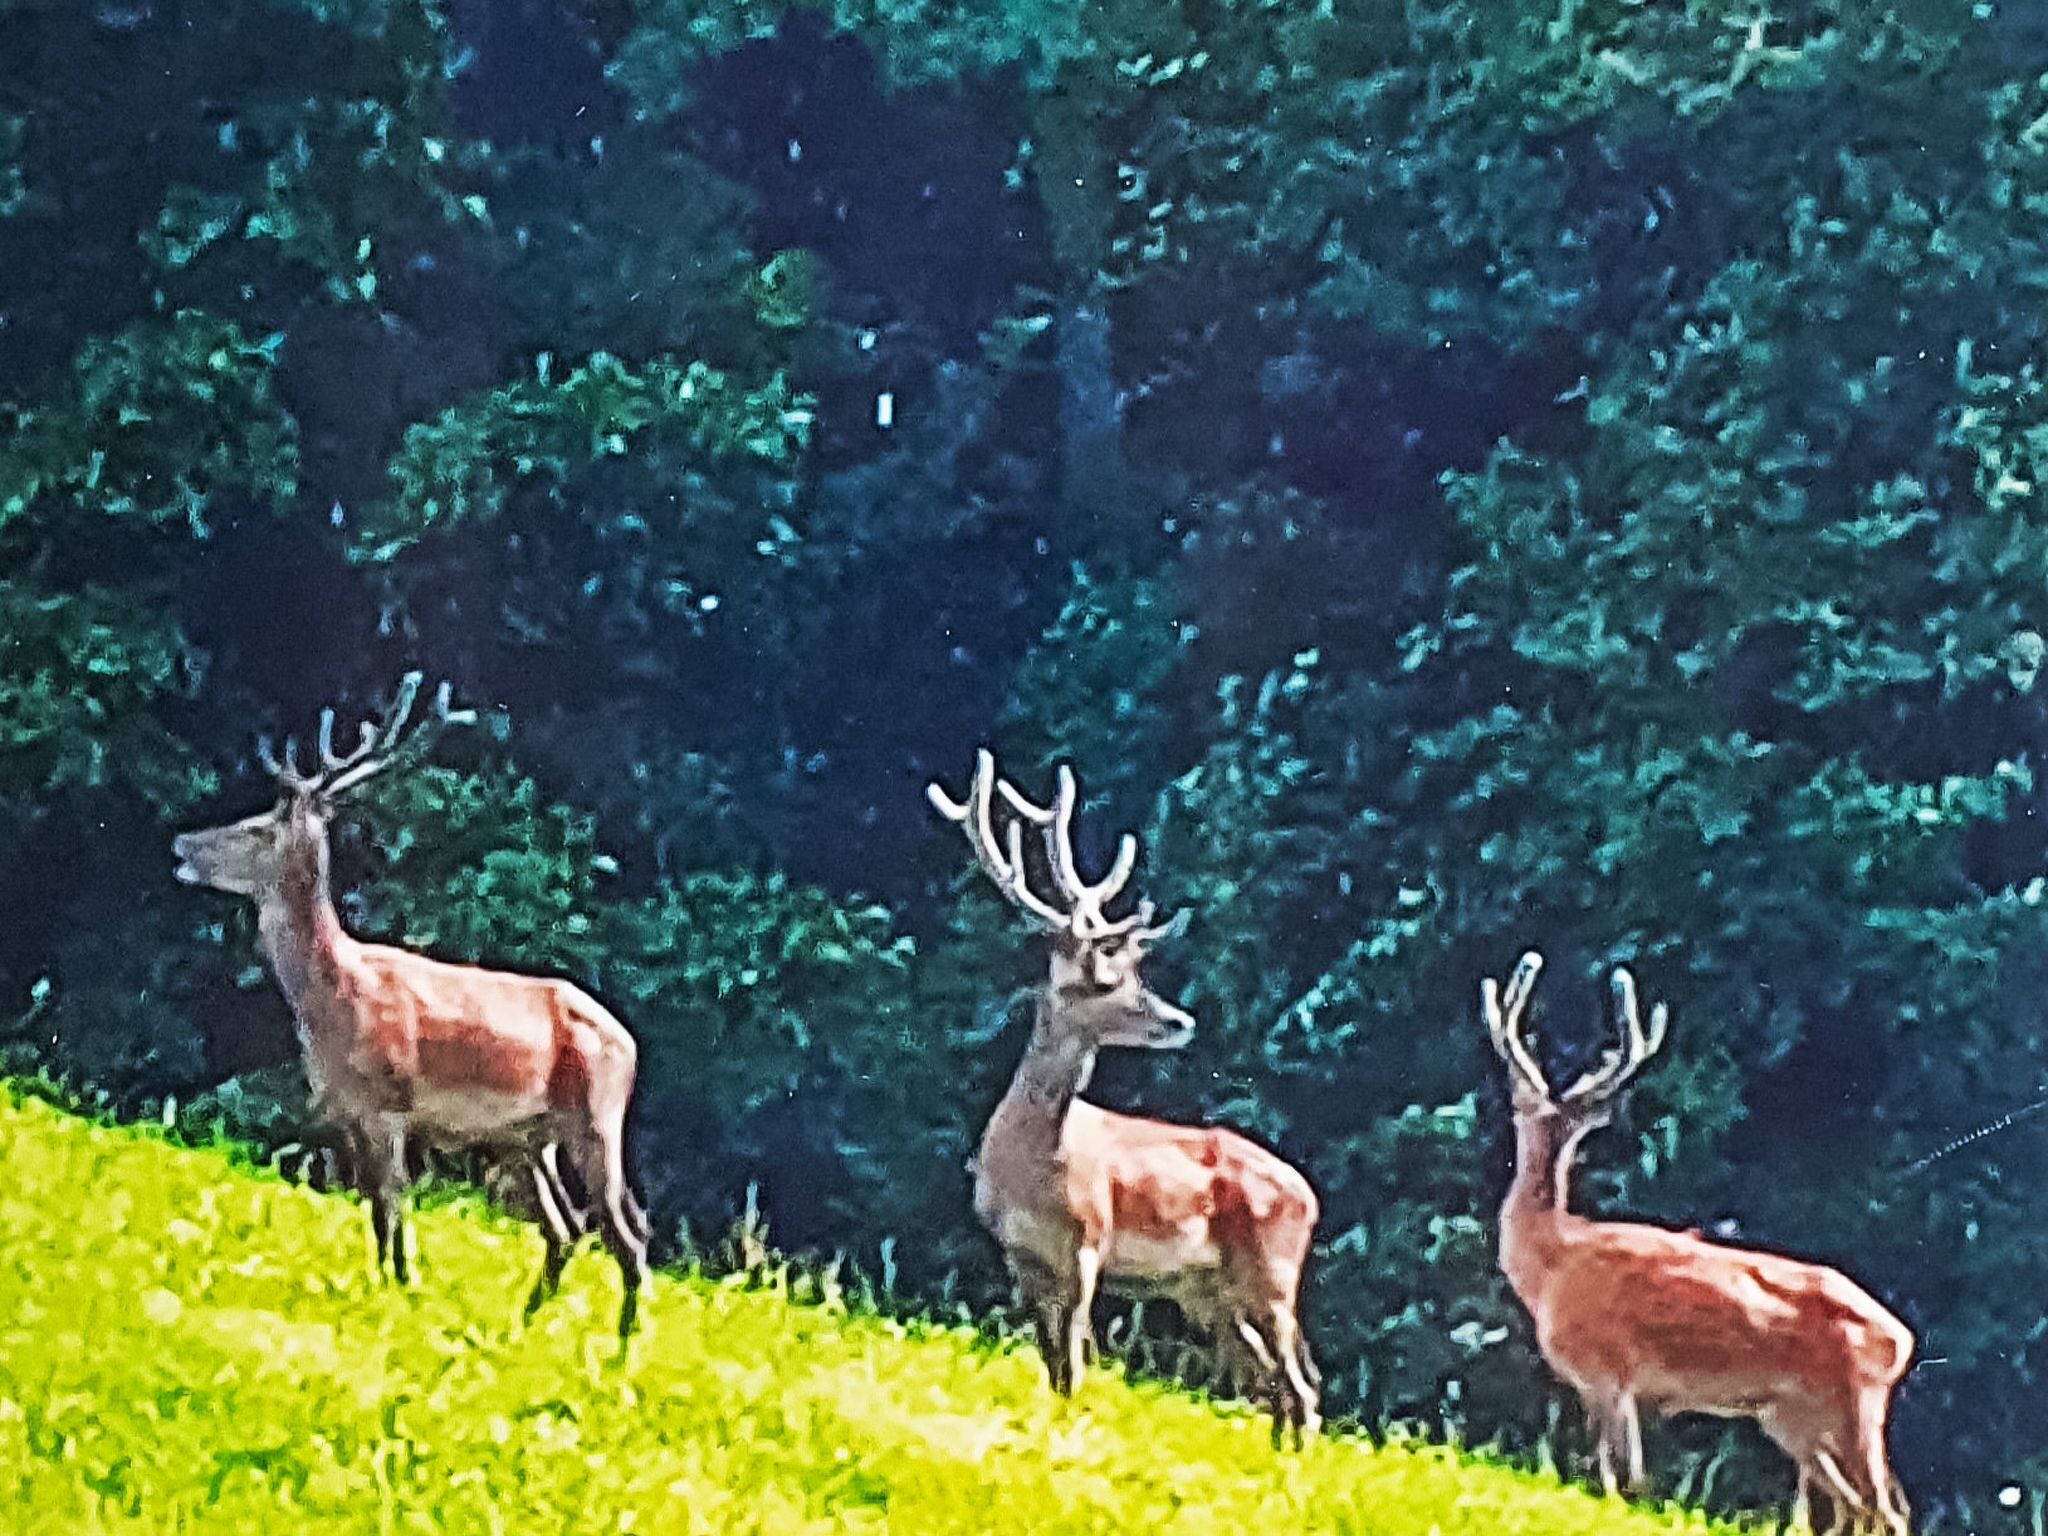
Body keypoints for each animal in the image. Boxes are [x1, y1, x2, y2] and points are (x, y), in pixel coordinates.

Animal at [171, 674, 652, 1339]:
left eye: (258, 828)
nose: (182, 843)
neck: (334, 1001)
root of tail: (628, 1043)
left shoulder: (390, 1102)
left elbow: (392, 1203)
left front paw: (397, 1291)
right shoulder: (348, 1109)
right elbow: (377, 1205)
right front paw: (390, 1286)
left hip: (597, 1116)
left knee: (626, 1235)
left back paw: (621, 1347)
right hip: (527, 1137)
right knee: (568, 1227)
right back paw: (524, 1324)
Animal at [928, 748, 1322, 1445]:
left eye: (1136, 971)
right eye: (1107, 979)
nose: (1181, 1019)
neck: (1030, 1161)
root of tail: (1311, 1197)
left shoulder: (1089, 1240)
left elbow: (1075, 1361)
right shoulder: (1018, 1254)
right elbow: (1051, 1360)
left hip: (1274, 1269)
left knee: (1300, 1388)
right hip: (1208, 1290)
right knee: (1276, 1387)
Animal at [1480, 949, 1913, 1534]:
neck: (1551, 1263)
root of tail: (1901, 1341)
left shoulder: (1605, 1373)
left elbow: (1623, 1480)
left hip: (1854, 1403)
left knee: (1886, 1509)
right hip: (1794, 1420)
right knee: (1857, 1506)